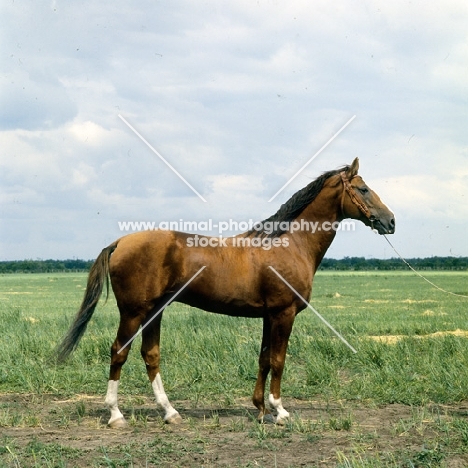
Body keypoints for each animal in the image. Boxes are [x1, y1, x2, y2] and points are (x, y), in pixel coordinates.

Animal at [57, 159, 394, 426]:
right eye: (363, 189)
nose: (390, 221)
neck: (289, 244)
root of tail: (120, 242)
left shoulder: (268, 317)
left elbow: (264, 359)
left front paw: (260, 409)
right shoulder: (283, 314)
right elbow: (279, 360)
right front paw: (279, 411)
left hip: (154, 311)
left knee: (150, 355)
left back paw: (170, 412)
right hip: (133, 313)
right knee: (119, 352)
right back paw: (116, 415)